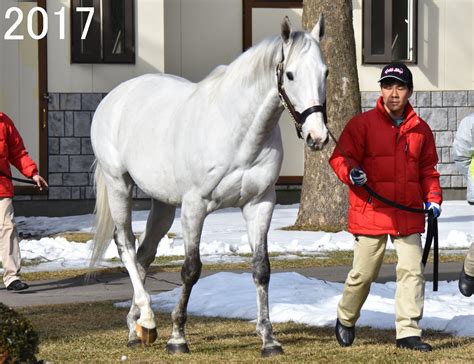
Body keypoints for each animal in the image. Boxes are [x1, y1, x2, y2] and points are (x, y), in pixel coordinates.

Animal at [90, 17, 326, 356]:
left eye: (326, 72)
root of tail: (115, 97)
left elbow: (261, 269)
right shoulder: (195, 206)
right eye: (291, 74)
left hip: (163, 202)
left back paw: (138, 326)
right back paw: (148, 318)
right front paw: (178, 337)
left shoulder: (260, 204)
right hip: (118, 184)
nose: (317, 136)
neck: (238, 132)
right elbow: (190, 269)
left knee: (144, 253)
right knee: (126, 244)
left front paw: (269, 338)